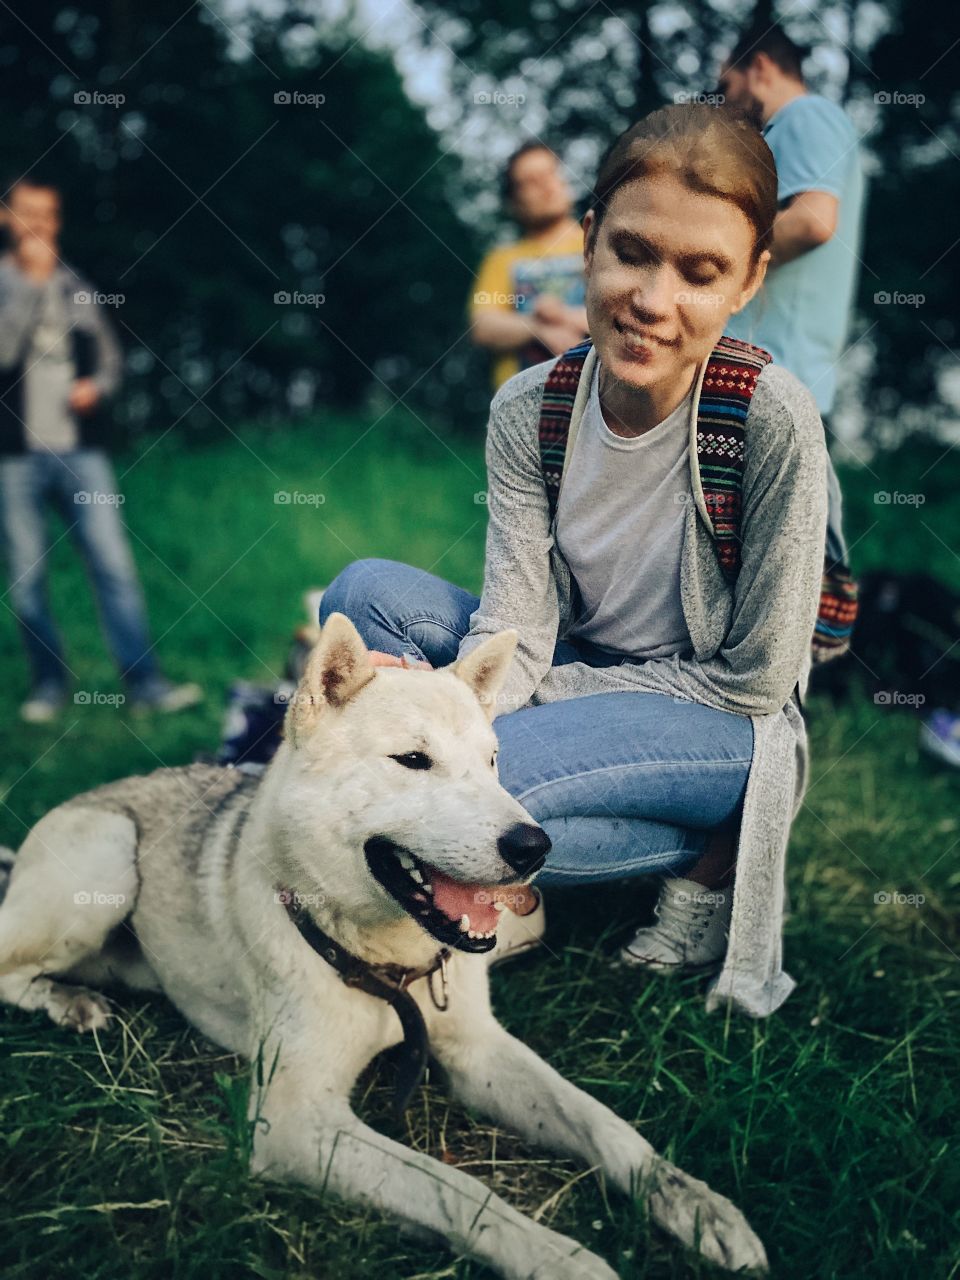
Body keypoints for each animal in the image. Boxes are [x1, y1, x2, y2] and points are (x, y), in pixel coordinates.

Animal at [0, 614, 768, 1274]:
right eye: (413, 760)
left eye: (493, 762)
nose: (533, 847)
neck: (387, 963)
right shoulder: (295, 1120)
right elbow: (456, 1192)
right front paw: (562, 1260)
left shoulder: (477, 1050)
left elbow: (604, 1125)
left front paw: (693, 1202)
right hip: (108, 859)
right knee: (10, 967)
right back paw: (68, 1002)